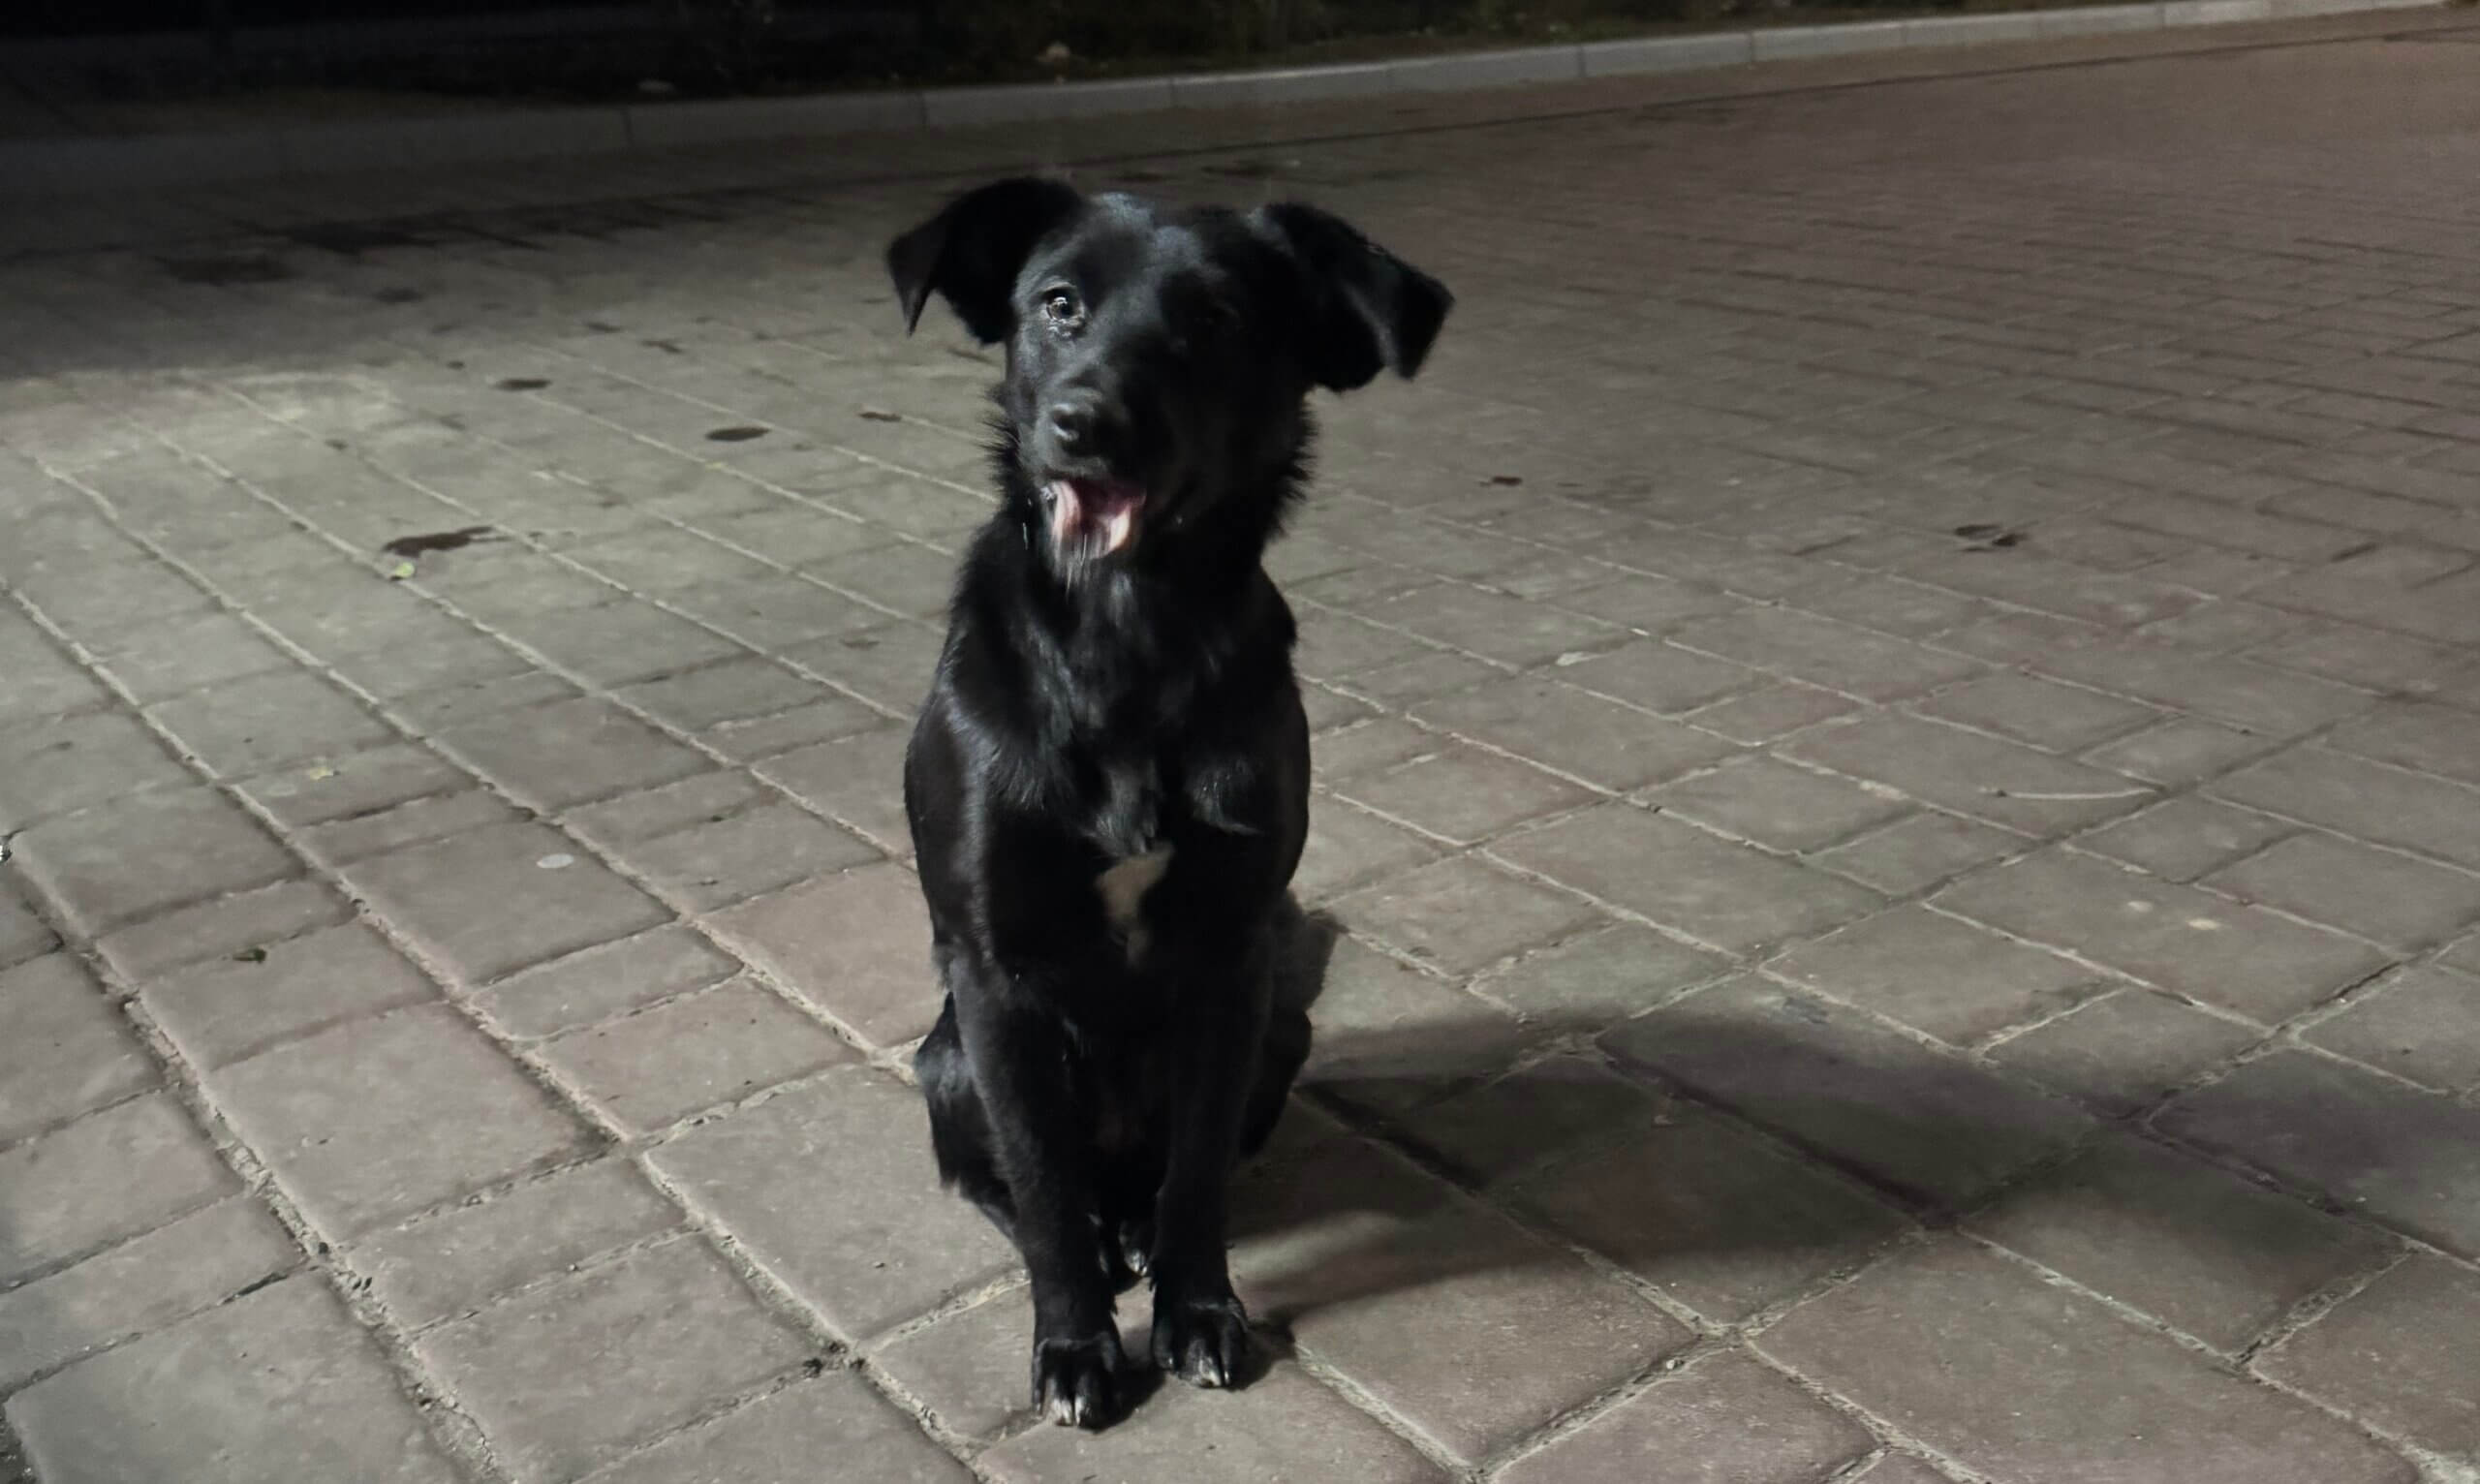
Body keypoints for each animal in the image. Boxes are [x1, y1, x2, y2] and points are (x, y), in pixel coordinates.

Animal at [887, 170, 1448, 1429]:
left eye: (1219, 320)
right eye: (1057, 304)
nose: (1085, 422)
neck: (1124, 641)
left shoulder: (1232, 962)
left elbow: (1196, 1173)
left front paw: (1196, 1307)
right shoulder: (994, 978)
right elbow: (1042, 1187)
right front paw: (1075, 1339)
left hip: (1282, 1024)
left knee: (1171, 1168)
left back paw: (1137, 1229)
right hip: (946, 1057)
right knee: (1016, 1180)